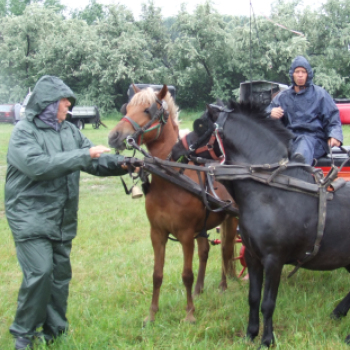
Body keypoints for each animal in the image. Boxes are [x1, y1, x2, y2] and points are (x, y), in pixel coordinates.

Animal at [108, 84, 239, 322]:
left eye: (148, 110)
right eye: (127, 107)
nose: (114, 136)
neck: (171, 180)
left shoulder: (185, 234)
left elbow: (186, 274)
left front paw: (189, 314)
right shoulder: (157, 233)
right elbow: (157, 274)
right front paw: (152, 314)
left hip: (232, 218)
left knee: (226, 249)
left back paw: (223, 285)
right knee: (206, 250)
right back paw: (199, 290)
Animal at [172, 101, 350, 348]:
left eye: (199, 125)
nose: (174, 151)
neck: (272, 191)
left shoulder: (274, 260)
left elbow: (268, 303)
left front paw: (266, 340)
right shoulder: (252, 257)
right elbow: (253, 298)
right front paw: (250, 333)